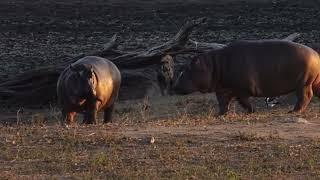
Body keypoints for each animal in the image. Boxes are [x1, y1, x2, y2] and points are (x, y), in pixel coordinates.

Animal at [174, 39, 320, 115]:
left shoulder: (240, 89)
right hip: (314, 82)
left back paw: (293, 112)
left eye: (186, 70)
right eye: (181, 68)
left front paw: (252, 111)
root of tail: (316, 54)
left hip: (303, 84)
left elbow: (244, 101)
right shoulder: (222, 89)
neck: (212, 65)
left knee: (305, 97)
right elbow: (223, 103)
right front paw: (220, 115)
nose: (174, 87)